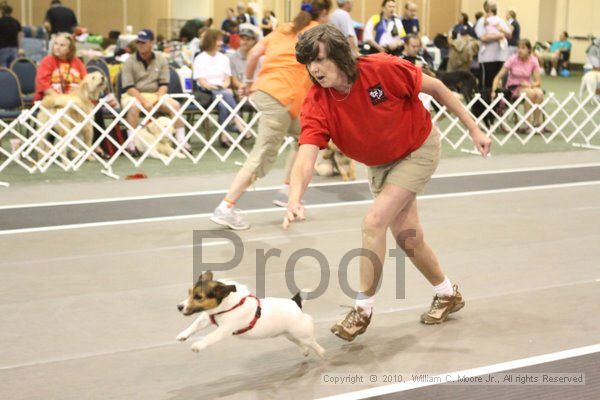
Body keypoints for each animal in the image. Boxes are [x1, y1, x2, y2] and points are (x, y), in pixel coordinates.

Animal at [176, 270, 326, 358]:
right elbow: (195, 325)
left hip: (302, 333)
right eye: (189, 293)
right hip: (289, 334)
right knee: (300, 343)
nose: (179, 307)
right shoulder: (207, 318)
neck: (227, 305)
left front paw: (198, 345)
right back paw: (305, 351)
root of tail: (295, 303)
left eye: (198, 297)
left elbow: (210, 337)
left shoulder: (224, 329)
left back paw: (321, 352)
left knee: (312, 343)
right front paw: (183, 335)